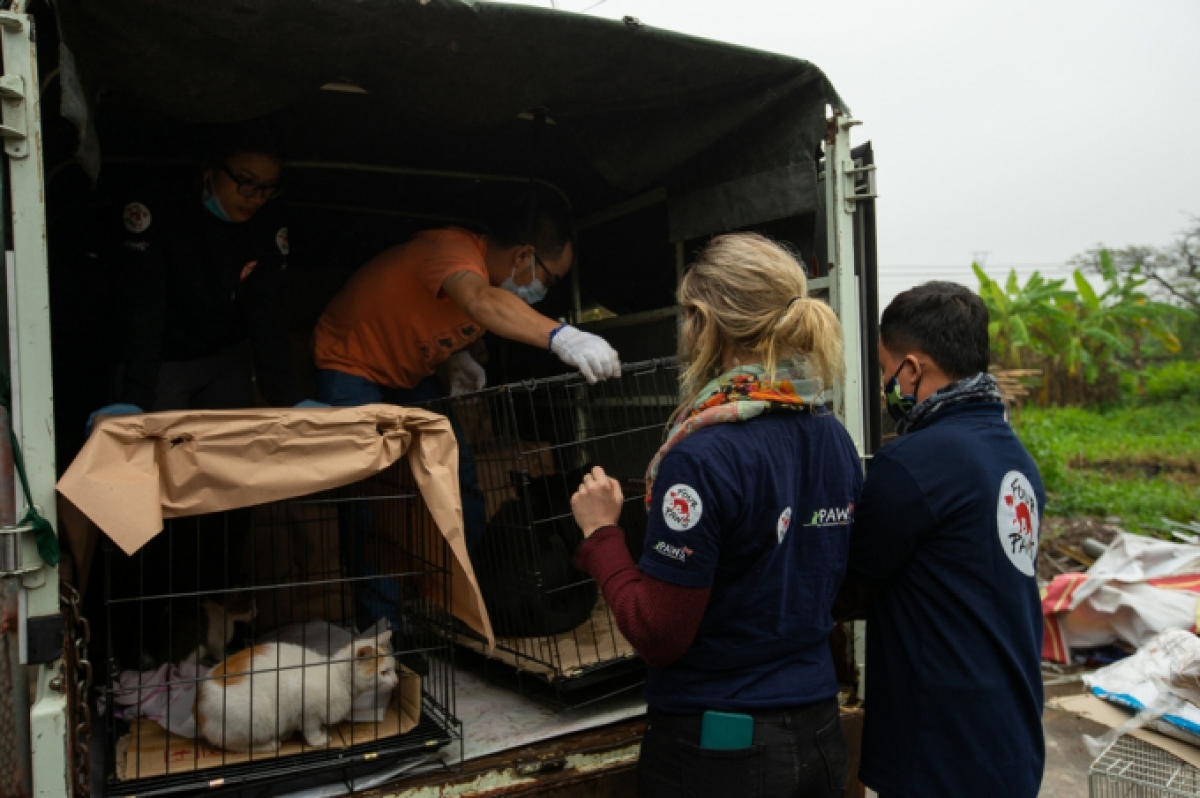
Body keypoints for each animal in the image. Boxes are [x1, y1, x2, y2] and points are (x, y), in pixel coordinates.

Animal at [196, 624, 398, 748]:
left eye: (394, 669)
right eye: (384, 672)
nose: (396, 682)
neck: (336, 675)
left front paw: (289, 732)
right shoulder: (301, 697)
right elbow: (310, 726)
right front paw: (317, 739)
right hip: (255, 719)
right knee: (229, 744)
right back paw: (268, 744)